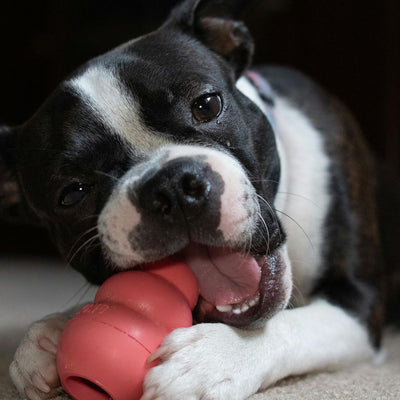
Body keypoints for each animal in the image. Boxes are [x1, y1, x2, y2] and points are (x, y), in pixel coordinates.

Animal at [2, 0, 394, 398]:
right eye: (72, 193)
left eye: (207, 105)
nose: (171, 187)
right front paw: (50, 333)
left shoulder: (360, 302)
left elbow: (294, 327)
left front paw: (215, 358)